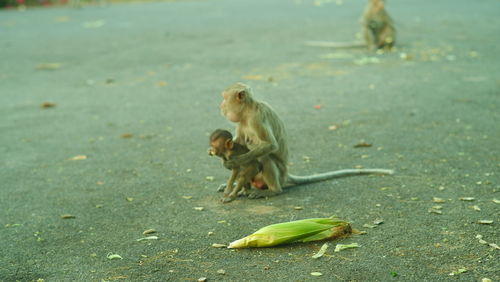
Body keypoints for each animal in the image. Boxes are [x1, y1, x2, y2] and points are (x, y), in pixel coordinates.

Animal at [221, 83, 392, 198]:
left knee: (265, 157)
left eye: (224, 98)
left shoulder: (256, 118)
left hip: (280, 175)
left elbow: (270, 145)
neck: (247, 111)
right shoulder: (241, 122)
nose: (220, 105)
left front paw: (235, 161)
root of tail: (286, 175)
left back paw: (273, 191)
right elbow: (239, 142)